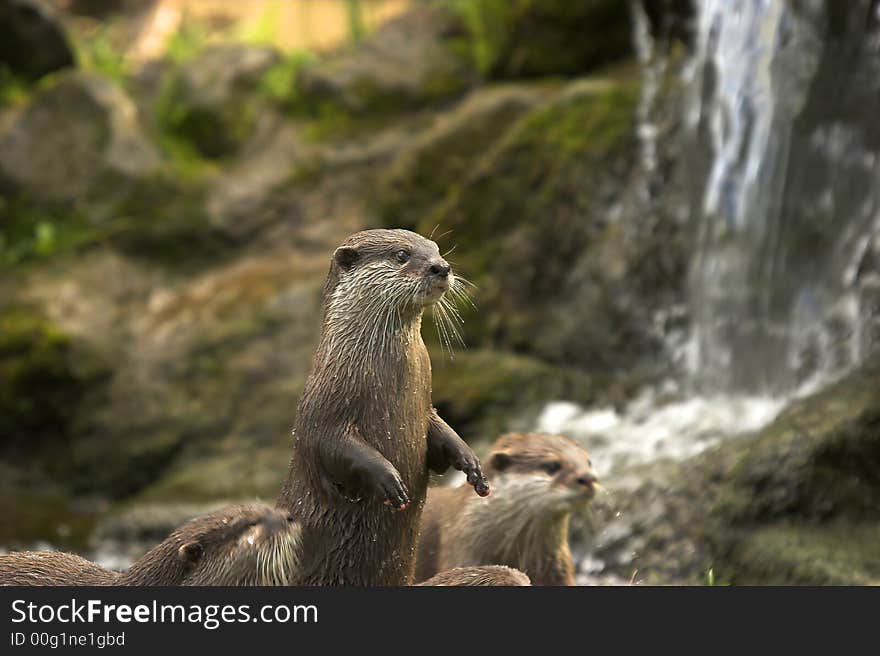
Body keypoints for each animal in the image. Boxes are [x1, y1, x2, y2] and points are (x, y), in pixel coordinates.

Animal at [276, 229, 488, 584]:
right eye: (402, 254)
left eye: (436, 249)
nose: (441, 267)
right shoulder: (321, 409)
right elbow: (327, 443)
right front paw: (388, 478)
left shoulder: (426, 407)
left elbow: (440, 431)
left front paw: (470, 461)